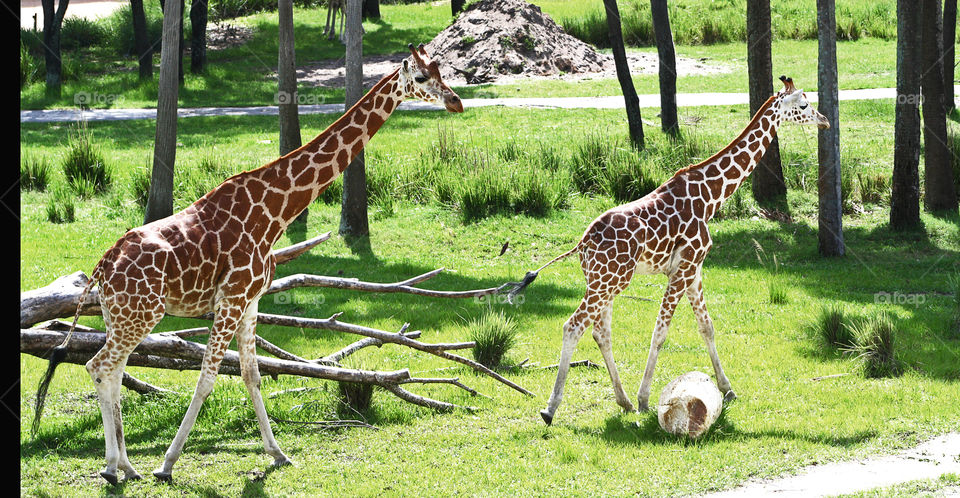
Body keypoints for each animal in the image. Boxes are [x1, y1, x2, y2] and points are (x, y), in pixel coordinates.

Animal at [33, 44, 462, 484]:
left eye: (442, 73)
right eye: (422, 79)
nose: (456, 102)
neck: (275, 211)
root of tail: (102, 267)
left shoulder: (252, 301)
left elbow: (251, 375)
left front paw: (278, 454)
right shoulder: (232, 299)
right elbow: (207, 378)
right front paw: (167, 463)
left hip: (118, 316)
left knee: (113, 371)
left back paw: (125, 465)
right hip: (140, 315)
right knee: (99, 366)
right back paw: (112, 466)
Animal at [506, 77, 828, 424]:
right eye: (804, 105)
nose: (824, 120)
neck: (711, 197)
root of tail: (583, 243)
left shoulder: (694, 270)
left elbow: (706, 326)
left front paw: (727, 389)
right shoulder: (683, 269)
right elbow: (660, 332)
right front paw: (645, 399)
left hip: (602, 282)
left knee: (600, 332)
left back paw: (622, 401)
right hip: (610, 281)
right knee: (573, 326)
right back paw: (551, 408)